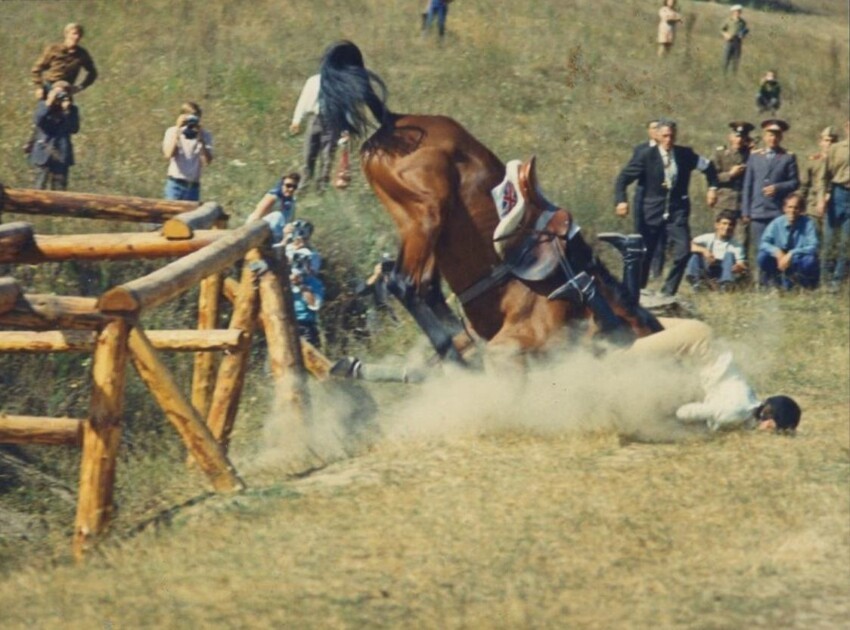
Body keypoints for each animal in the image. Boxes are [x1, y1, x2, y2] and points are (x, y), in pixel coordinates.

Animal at [320, 39, 664, 362]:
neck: (582, 297)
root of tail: (393, 121)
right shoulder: (509, 349)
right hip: (426, 213)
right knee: (404, 283)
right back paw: (454, 354)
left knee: (424, 285)